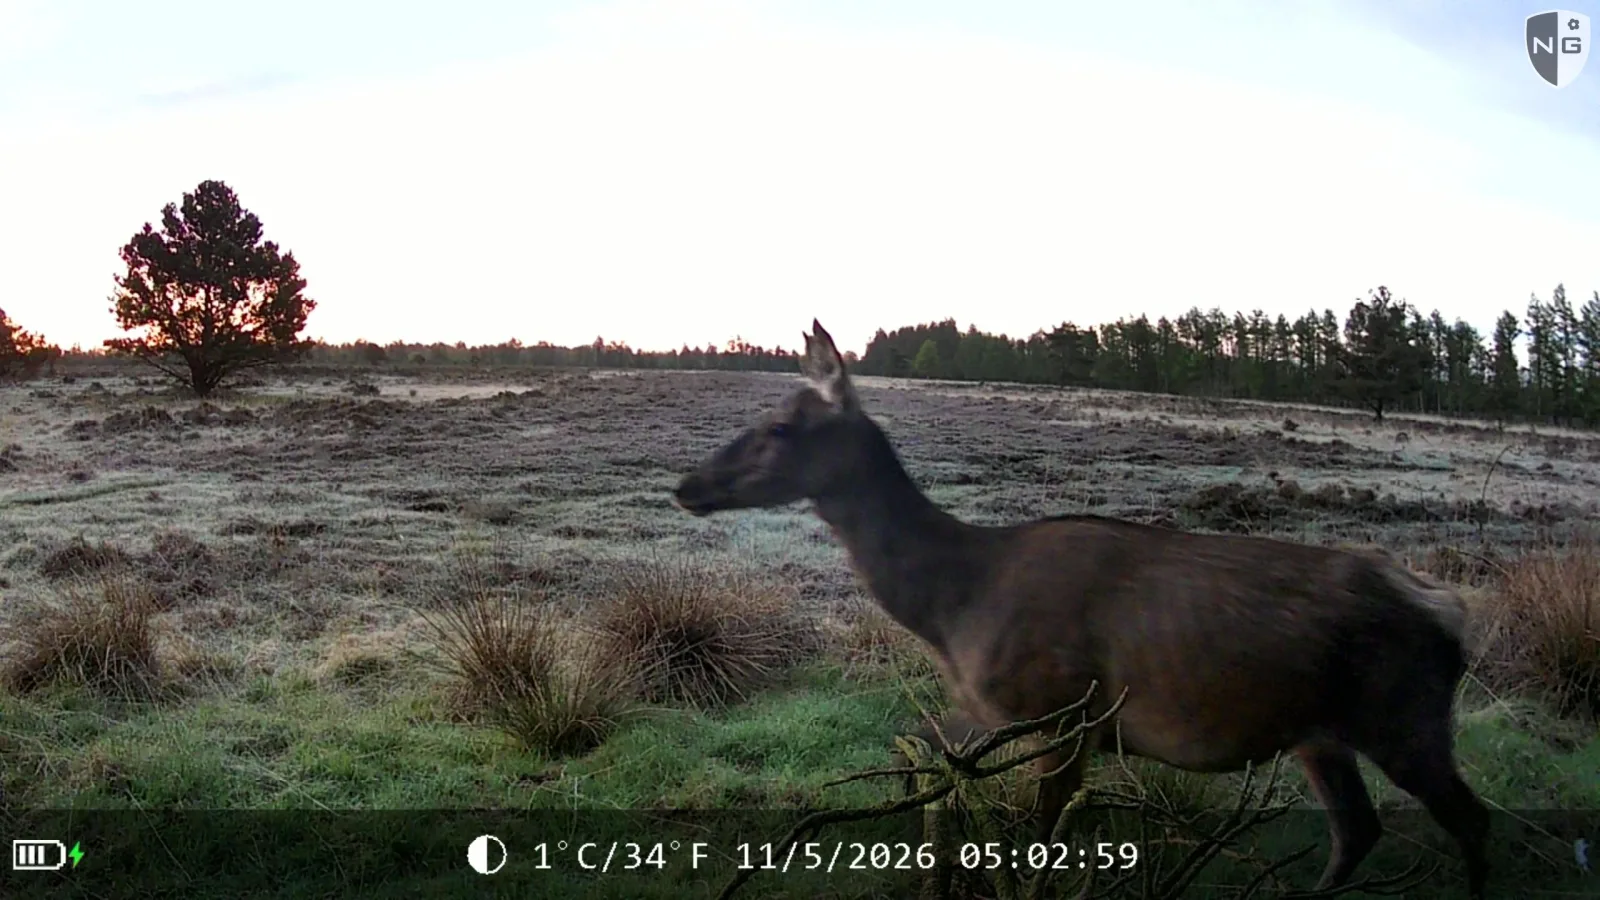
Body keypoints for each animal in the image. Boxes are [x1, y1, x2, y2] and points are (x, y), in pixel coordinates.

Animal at [671, 320, 1491, 899]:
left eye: (780, 427)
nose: (687, 485)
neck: (954, 604)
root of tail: (1449, 608)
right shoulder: (993, 710)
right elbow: (921, 752)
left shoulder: (1065, 710)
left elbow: (1040, 842)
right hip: (1321, 732)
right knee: (1358, 830)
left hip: (1402, 714)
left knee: (1470, 820)